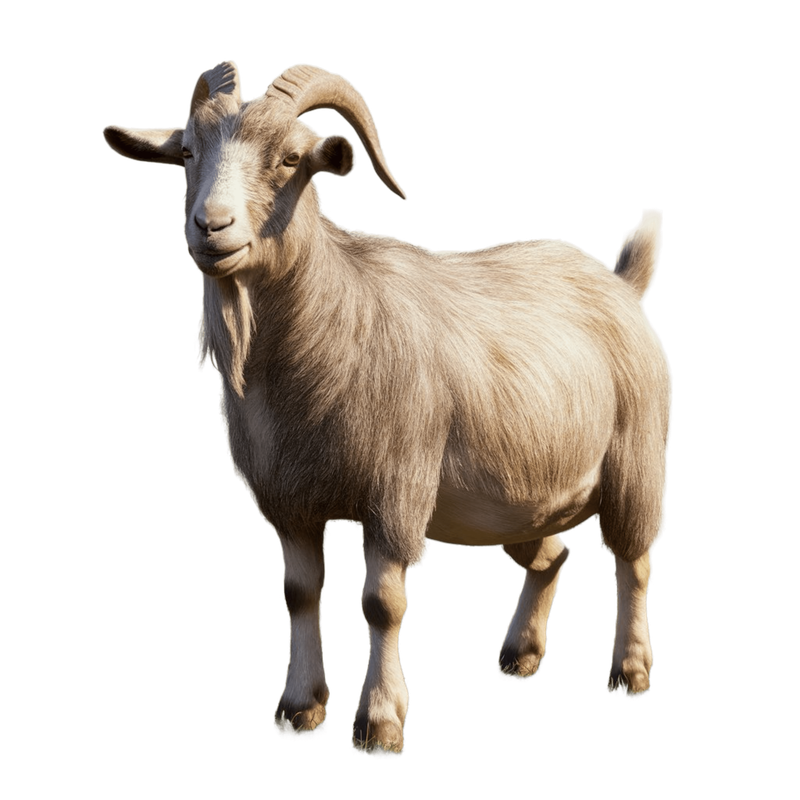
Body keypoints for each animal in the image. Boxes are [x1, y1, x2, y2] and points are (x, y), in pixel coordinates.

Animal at [103, 61, 671, 758]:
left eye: (291, 159)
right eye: (187, 153)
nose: (212, 227)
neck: (337, 317)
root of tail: (622, 282)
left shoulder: (394, 492)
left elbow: (382, 604)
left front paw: (379, 722)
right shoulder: (290, 503)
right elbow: (299, 594)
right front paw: (300, 708)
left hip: (635, 465)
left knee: (633, 562)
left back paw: (631, 669)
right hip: (522, 498)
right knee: (553, 557)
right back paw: (521, 655)